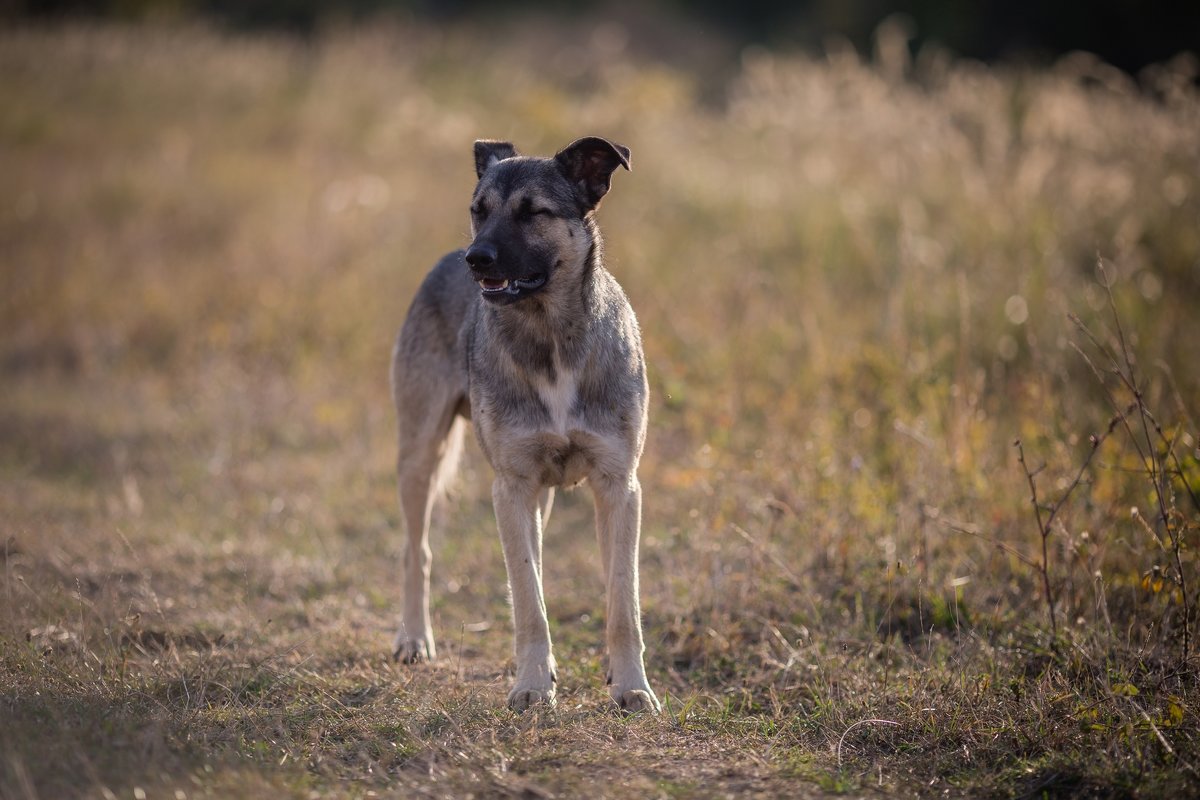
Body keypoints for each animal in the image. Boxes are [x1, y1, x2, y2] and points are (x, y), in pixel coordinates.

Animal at [391, 136, 657, 714]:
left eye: (534, 211)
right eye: (478, 209)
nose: (477, 259)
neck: (550, 336)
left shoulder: (619, 485)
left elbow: (622, 599)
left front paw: (631, 685)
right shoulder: (511, 488)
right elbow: (528, 601)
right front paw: (533, 685)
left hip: (545, 496)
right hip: (420, 454)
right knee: (417, 551)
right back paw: (414, 638)